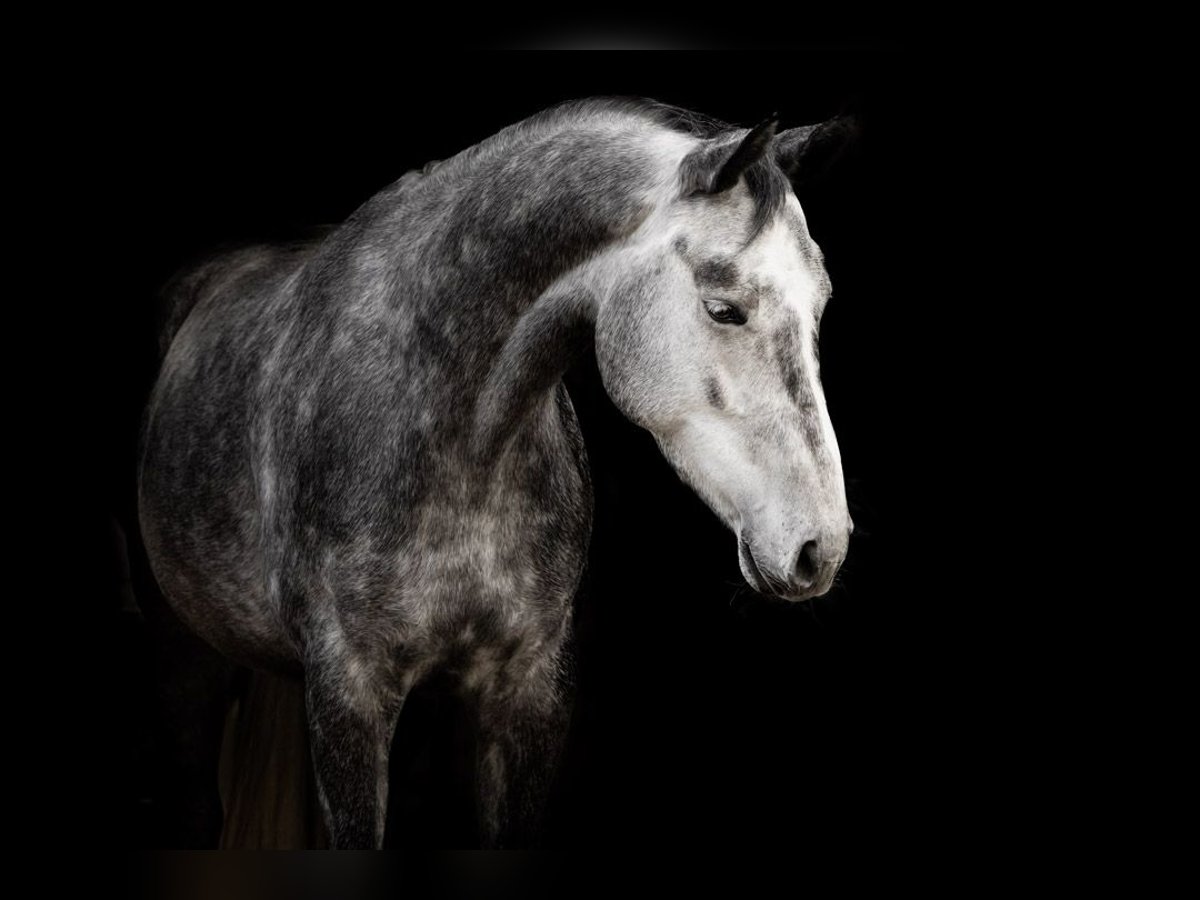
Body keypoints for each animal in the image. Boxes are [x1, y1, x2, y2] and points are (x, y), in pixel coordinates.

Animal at [136, 98, 859, 854]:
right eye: (724, 308)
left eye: (819, 306)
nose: (821, 548)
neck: (451, 442)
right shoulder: (347, 694)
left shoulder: (528, 688)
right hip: (180, 652)